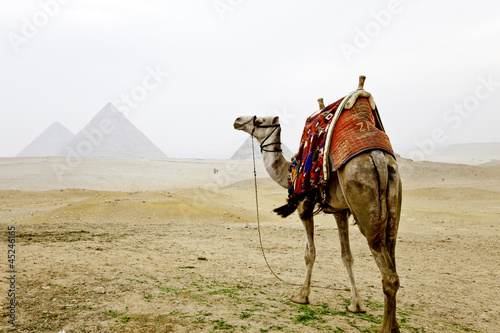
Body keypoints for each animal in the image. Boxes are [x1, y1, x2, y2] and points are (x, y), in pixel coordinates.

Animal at [234, 76, 402, 330]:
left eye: (259, 120)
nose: (237, 120)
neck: (290, 172)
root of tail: (380, 161)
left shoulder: (304, 206)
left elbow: (309, 253)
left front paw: (301, 296)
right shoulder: (340, 211)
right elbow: (346, 256)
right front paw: (356, 305)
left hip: (366, 207)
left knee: (388, 275)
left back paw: (385, 328)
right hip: (393, 201)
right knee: (393, 263)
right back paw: (395, 325)